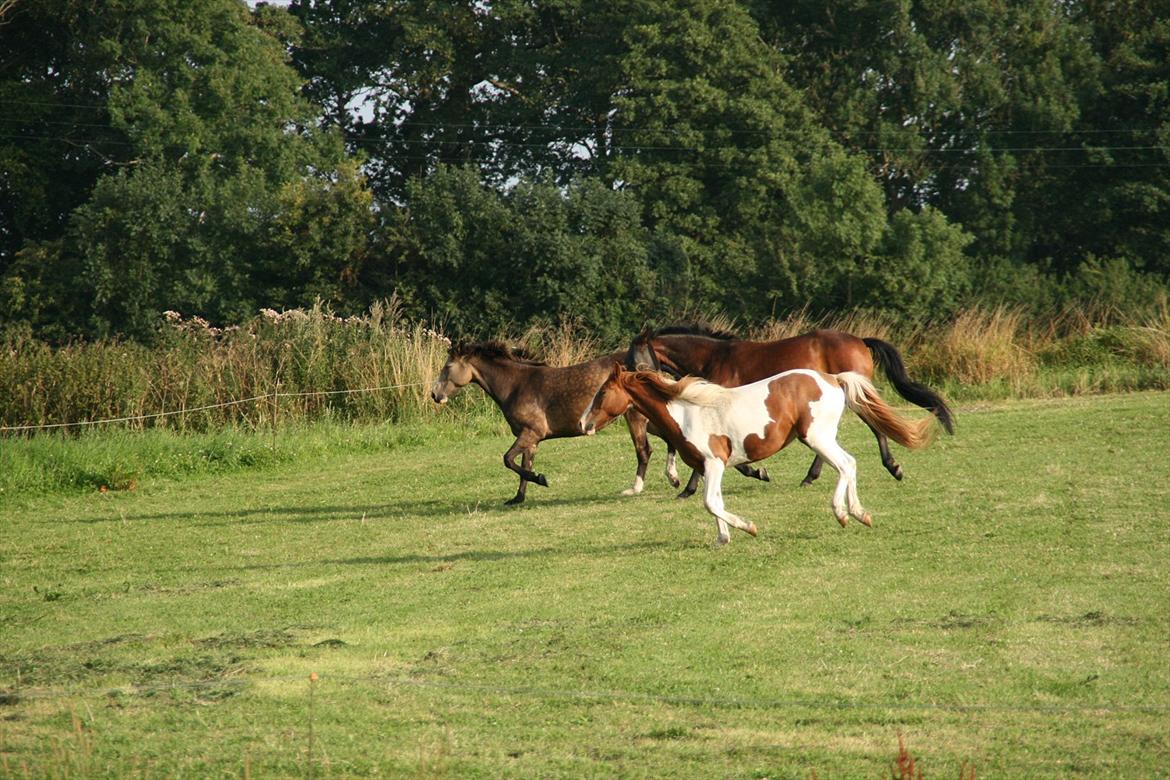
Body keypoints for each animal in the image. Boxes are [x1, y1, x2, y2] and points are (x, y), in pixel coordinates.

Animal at [435, 343, 664, 502]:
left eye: (448, 366)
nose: (434, 395)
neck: (515, 385)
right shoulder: (531, 439)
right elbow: (523, 465)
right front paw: (518, 498)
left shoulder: (531, 432)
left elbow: (508, 460)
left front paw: (541, 479)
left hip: (636, 416)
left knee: (644, 450)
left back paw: (636, 488)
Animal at [580, 364, 935, 542]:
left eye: (602, 393)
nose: (583, 422)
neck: (687, 411)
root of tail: (832, 378)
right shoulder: (708, 468)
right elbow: (715, 503)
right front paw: (723, 539)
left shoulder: (715, 463)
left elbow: (711, 503)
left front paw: (747, 527)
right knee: (850, 464)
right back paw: (860, 513)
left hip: (816, 437)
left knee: (846, 464)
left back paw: (845, 514)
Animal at [627, 327, 954, 498]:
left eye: (634, 358)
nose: (631, 391)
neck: (714, 359)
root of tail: (860, 340)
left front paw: (689, 488)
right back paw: (812, 476)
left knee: (874, 426)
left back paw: (892, 467)